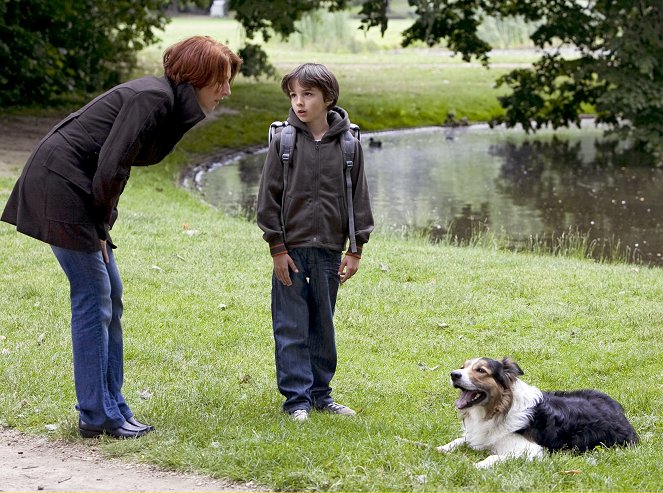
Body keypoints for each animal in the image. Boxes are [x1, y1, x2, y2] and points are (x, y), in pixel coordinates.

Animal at [438, 356, 640, 468]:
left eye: (480, 370)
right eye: (463, 367)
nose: (454, 374)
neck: (498, 409)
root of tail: (618, 409)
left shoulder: (534, 451)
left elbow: (494, 456)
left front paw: (477, 465)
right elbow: (462, 439)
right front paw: (441, 448)